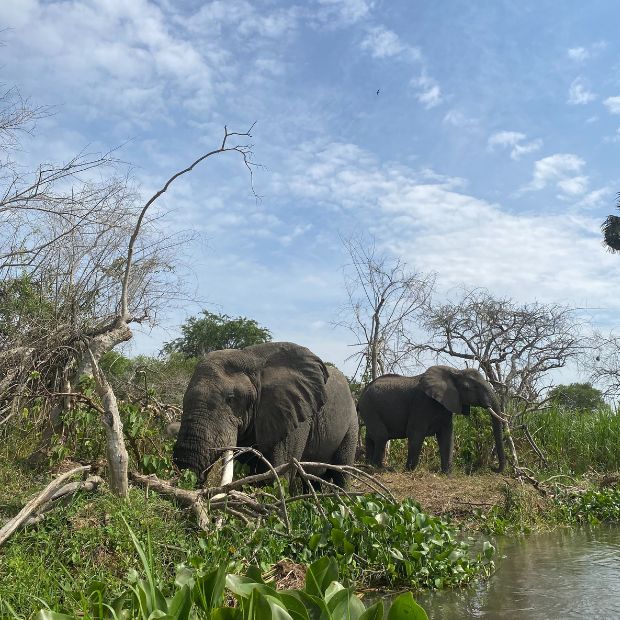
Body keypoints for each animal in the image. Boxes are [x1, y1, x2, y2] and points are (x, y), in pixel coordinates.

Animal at [174, 342, 358, 486]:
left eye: (231, 399)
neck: (249, 358)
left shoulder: (293, 416)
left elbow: (277, 474)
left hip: (352, 424)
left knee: (342, 474)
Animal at [356, 366, 506, 472]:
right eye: (469, 387)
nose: (493, 468)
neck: (455, 372)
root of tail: (362, 392)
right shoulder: (421, 403)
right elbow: (415, 433)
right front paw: (409, 470)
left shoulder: (446, 405)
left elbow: (447, 435)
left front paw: (447, 473)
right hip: (369, 407)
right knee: (381, 436)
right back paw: (381, 469)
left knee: (371, 436)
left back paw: (368, 465)